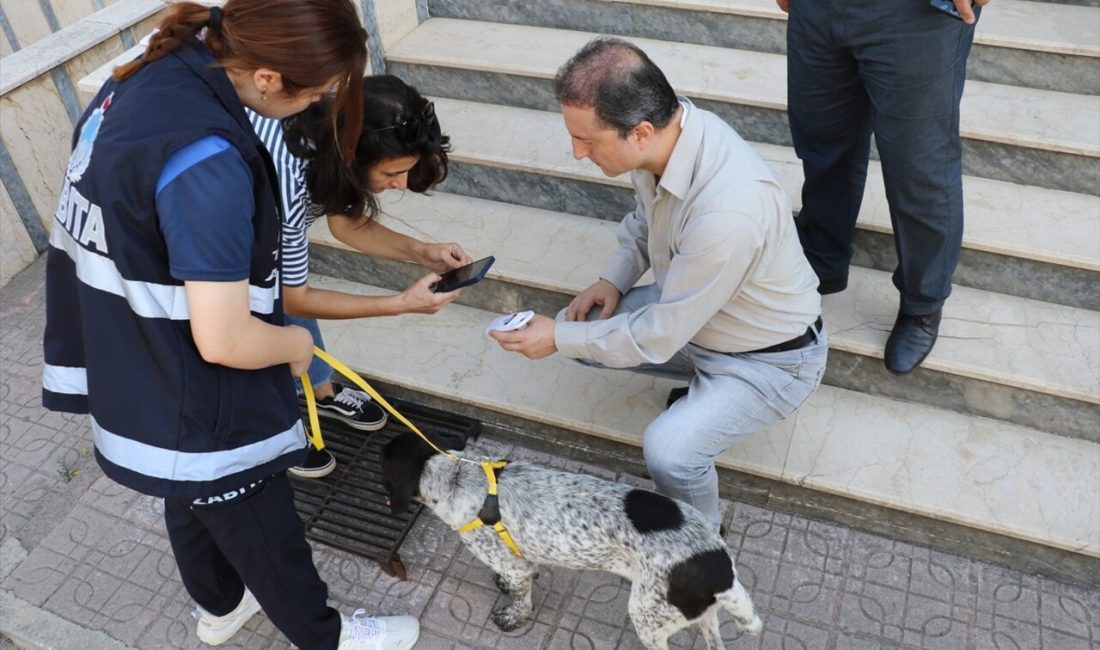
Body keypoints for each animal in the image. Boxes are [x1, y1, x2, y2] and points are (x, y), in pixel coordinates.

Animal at [382, 433, 761, 650]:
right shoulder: (518, 559)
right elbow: (521, 574)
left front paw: (513, 617)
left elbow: (521, 600)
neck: (458, 477)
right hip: (701, 616)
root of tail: (720, 566)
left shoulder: (509, 563)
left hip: (648, 618)